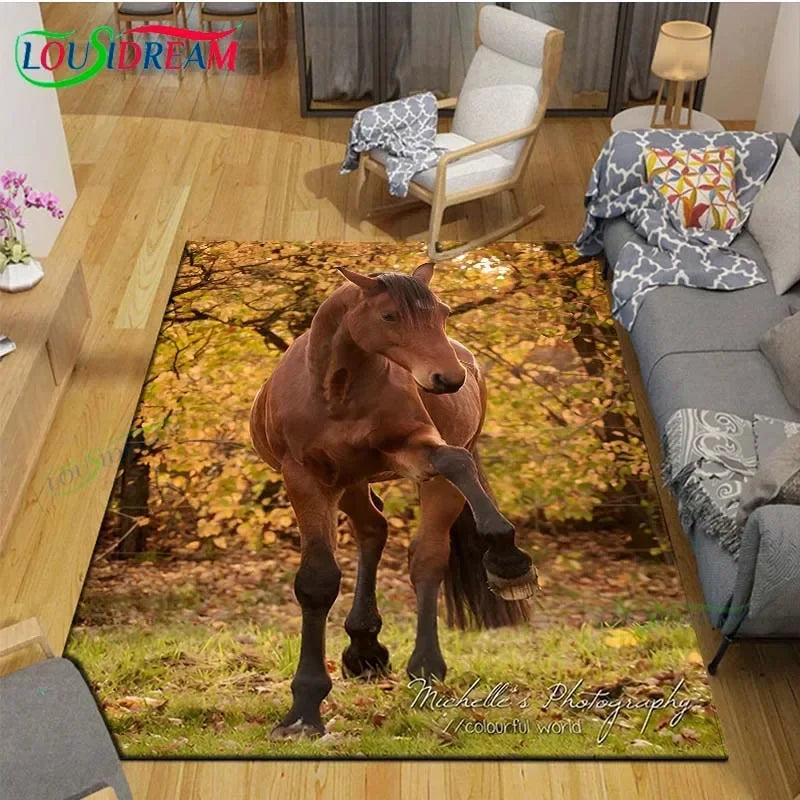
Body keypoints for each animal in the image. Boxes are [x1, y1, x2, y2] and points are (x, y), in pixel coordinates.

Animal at [249, 261, 537, 738]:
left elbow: (455, 462)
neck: (336, 390)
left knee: (426, 558)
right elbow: (317, 581)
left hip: (417, 486)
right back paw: (364, 647)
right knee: (373, 528)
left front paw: (508, 557)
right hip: (348, 484)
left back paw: (424, 666)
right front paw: (304, 708)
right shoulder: (305, 479)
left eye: (442, 312)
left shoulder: (415, 449)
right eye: (389, 316)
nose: (449, 378)